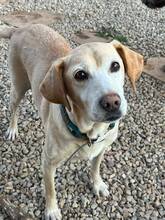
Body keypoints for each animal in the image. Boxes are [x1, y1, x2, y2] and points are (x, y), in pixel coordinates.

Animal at [0, 23, 144, 219]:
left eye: (115, 65)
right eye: (80, 75)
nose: (112, 102)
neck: (89, 131)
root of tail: (21, 28)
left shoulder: (102, 148)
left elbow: (95, 167)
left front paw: (97, 184)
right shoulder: (47, 162)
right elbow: (50, 189)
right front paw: (52, 210)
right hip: (18, 86)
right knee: (14, 108)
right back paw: (12, 129)